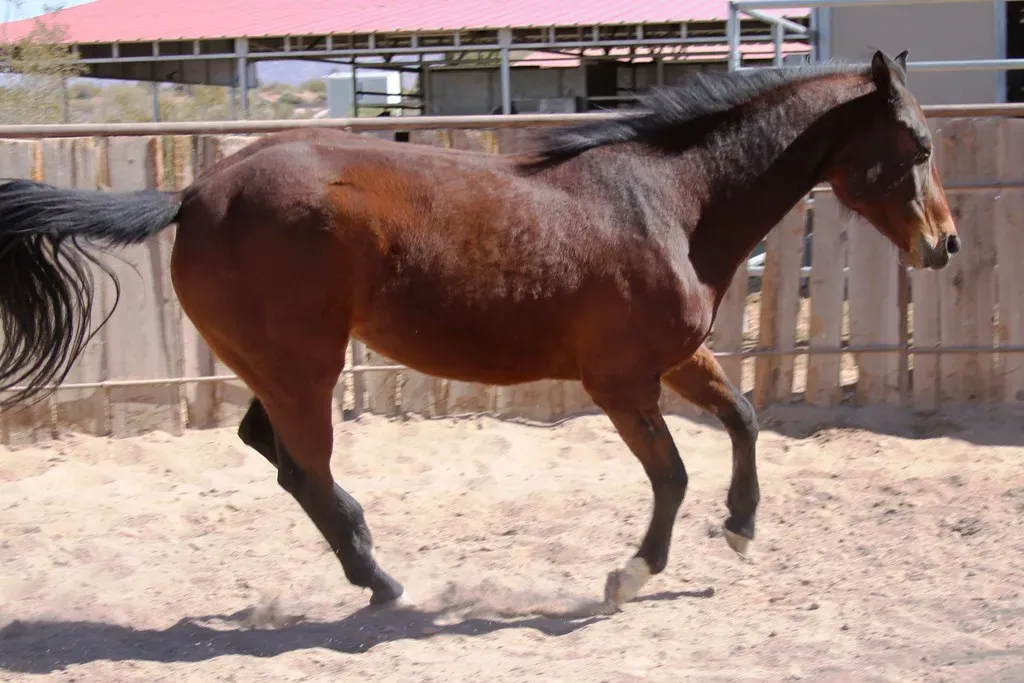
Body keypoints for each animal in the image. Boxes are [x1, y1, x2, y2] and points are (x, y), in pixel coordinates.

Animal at [0, 49, 958, 610]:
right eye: (916, 146)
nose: (945, 245)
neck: (670, 203)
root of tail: (193, 194)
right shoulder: (621, 382)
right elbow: (674, 475)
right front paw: (629, 575)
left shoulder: (679, 357)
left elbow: (746, 421)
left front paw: (743, 530)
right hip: (304, 367)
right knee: (303, 467)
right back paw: (383, 579)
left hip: (277, 367)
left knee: (274, 453)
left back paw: (370, 556)